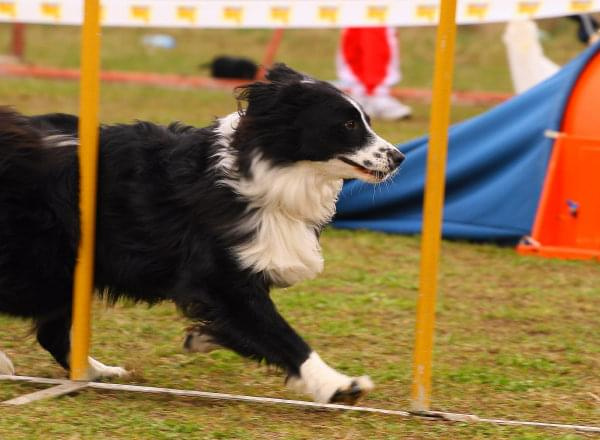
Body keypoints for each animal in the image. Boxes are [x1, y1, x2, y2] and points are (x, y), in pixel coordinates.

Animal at [0, 63, 406, 404]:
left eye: (366, 120)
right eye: (348, 125)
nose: (399, 157)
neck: (266, 168)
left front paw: (201, 337)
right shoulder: (220, 277)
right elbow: (281, 334)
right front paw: (338, 385)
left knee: (51, 332)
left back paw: (97, 371)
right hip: (41, 267)